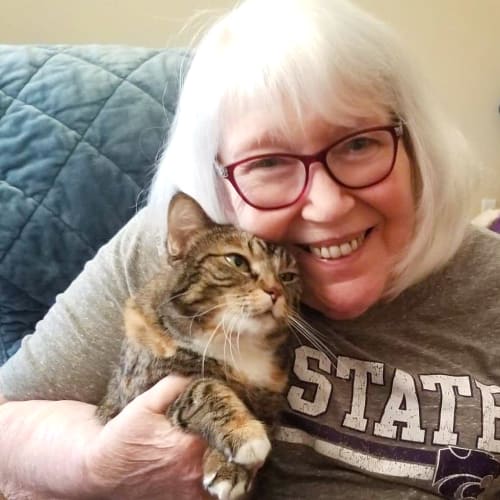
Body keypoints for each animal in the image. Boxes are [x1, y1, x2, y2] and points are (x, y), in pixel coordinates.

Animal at [97, 192, 300, 500]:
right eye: (236, 261)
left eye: (288, 277)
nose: (275, 291)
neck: (236, 342)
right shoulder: (142, 387)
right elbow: (204, 386)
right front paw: (244, 434)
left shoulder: (270, 399)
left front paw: (231, 467)